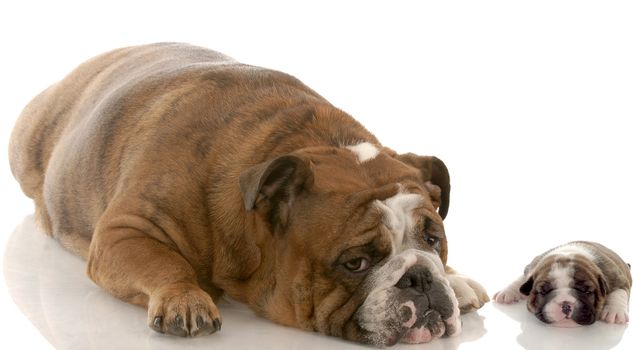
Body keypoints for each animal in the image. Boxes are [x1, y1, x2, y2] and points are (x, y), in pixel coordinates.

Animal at [7, 43, 486, 344]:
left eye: (433, 240)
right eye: (355, 263)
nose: (420, 277)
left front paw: (454, 278)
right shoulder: (123, 232)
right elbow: (163, 262)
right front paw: (185, 298)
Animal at [496, 241, 628, 326]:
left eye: (586, 291)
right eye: (543, 291)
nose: (565, 304)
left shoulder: (619, 279)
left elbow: (619, 293)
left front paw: (615, 312)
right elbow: (522, 279)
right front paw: (508, 291)